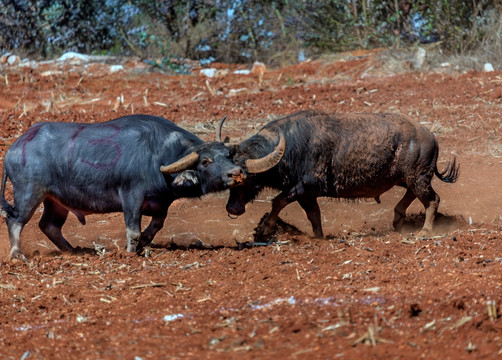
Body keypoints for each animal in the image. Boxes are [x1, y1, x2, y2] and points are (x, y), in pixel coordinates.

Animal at [0, 115, 243, 258]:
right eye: (205, 161)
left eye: (228, 154)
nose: (236, 173)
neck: (157, 154)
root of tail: (14, 148)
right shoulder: (131, 197)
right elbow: (133, 231)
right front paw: (130, 253)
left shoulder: (161, 203)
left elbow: (155, 226)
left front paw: (144, 243)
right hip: (30, 193)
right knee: (15, 220)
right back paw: (17, 254)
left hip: (55, 201)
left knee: (49, 225)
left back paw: (73, 250)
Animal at [216, 109, 458, 239]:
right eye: (230, 176)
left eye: (247, 178)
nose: (232, 209)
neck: (289, 146)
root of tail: (430, 135)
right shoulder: (306, 195)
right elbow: (314, 216)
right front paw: (318, 237)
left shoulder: (305, 187)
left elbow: (277, 201)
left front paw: (264, 229)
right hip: (407, 178)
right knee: (413, 195)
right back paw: (398, 219)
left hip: (418, 177)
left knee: (433, 199)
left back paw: (424, 231)